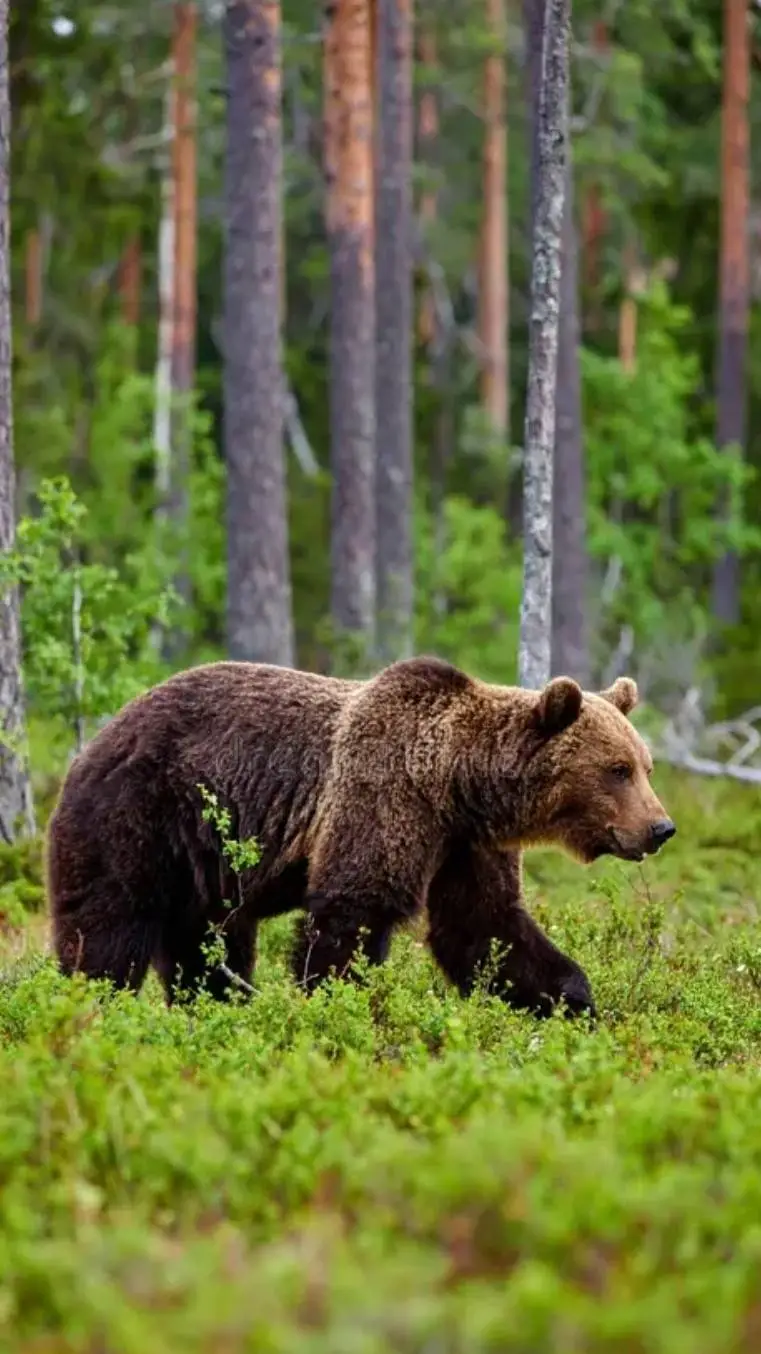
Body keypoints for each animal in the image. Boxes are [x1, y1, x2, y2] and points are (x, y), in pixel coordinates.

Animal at [46, 656, 675, 1018]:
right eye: (617, 769)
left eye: (646, 765)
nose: (661, 827)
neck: (453, 782)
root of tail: (95, 741)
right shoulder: (382, 797)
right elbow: (351, 914)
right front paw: (343, 1010)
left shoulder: (463, 845)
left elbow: (487, 927)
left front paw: (577, 1003)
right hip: (138, 820)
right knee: (108, 931)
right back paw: (93, 1010)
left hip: (205, 866)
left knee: (208, 946)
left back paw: (221, 1008)